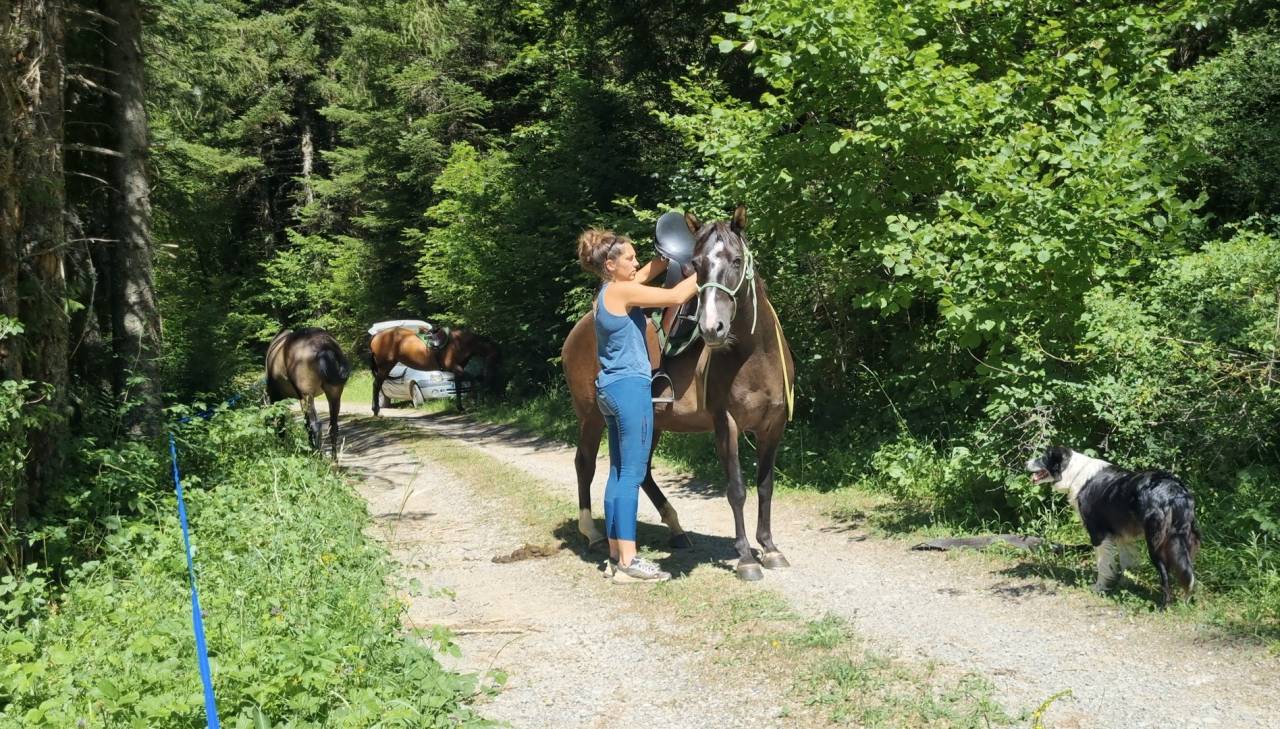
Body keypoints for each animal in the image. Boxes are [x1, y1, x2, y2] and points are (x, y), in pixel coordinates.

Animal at [265, 327, 352, 456]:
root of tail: (324, 345)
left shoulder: (278, 397)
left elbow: (282, 421)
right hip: (334, 394)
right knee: (333, 427)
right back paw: (333, 460)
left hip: (307, 396)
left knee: (315, 425)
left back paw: (318, 456)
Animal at [368, 325, 500, 414]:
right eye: (495, 357)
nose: (490, 375)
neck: (459, 343)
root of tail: (376, 336)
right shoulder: (455, 367)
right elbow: (474, 380)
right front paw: (478, 402)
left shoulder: (457, 370)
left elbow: (458, 388)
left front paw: (461, 407)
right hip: (384, 366)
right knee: (376, 385)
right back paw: (376, 410)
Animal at [561, 206, 797, 580]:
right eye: (697, 265)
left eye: (736, 260)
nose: (712, 328)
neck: (754, 356)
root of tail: (578, 331)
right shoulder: (726, 425)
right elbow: (736, 489)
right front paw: (746, 558)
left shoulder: (773, 427)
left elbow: (765, 487)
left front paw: (770, 548)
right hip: (591, 418)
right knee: (585, 464)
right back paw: (594, 534)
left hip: (650, 423)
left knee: (640, 472)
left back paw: (675, 528)